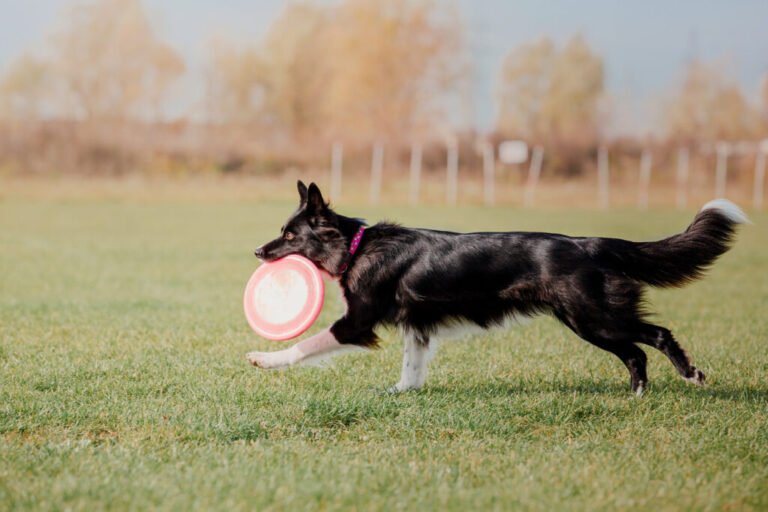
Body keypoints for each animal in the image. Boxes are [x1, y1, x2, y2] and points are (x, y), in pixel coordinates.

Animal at [248, 181, 752, 396]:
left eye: (290, 236)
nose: (256, 251)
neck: (356, 247)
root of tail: (588, 243)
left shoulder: (356, 322)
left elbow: (305, 345)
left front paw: (264, 359)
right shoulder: (417, 322)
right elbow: (412, 363)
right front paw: (402, 392)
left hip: (593, 316)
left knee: (655, 337)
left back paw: (689, 374)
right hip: (588, 320)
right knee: (635, 354)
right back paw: (637, 396)